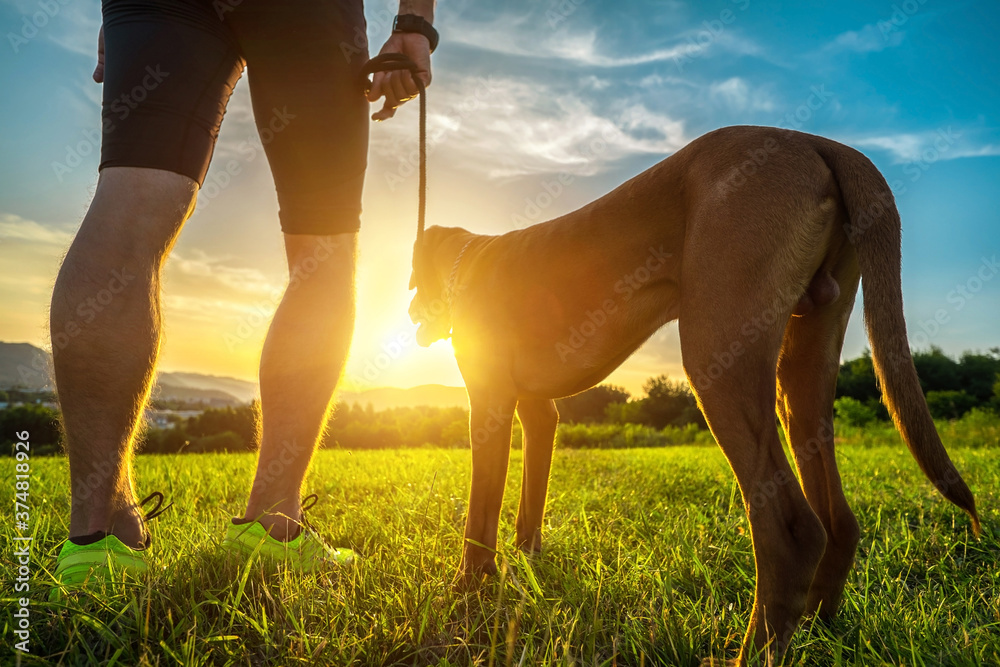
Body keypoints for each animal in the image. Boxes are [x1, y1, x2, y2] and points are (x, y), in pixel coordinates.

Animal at [406, 126, 976, 667]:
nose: (409, 316)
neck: (467, 259)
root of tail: (818, 142)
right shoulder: (538, 410)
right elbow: (530, 499)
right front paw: (526, 562)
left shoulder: (490, 401)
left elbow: (480, 510)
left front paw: (468, 588)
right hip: (804, 362)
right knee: (837, 520)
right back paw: (817, 631)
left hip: (716, 354)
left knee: (791, 530)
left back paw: (748, 655)